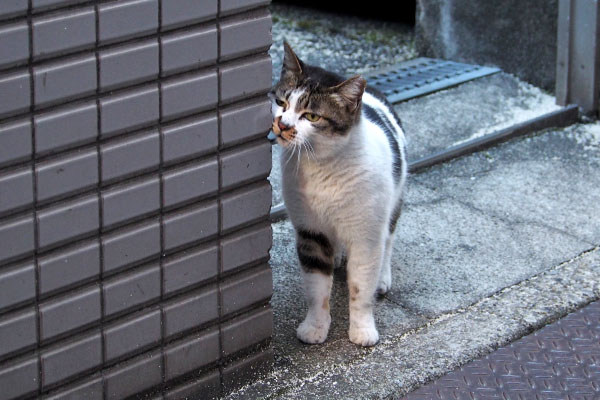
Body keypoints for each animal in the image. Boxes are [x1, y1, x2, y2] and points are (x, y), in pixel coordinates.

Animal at [270, 42, 408, 346]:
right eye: (282, 103)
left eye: (311, 115)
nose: (283, 125)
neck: (322, 168)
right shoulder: (310, 231)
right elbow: (316, 288)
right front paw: (315, 327)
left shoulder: (366, 236)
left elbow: (361, 287)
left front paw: (363, 330)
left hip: (393, 200)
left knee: (389, 239)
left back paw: (383, 277)